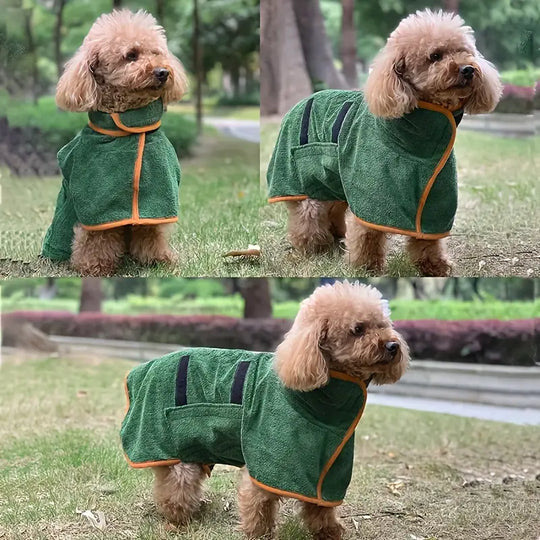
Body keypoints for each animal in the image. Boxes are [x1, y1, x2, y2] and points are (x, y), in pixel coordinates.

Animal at [41, 10, 188, 276]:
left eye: (156, 52)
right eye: (131, 55)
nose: (163, 72)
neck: (128, 131)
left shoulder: (158, 197)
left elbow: (150, 230)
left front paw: (158, 260)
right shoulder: (96, 201)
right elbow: (97, 236)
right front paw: (95, 267)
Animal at [121, 280, 410, 536]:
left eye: (383, 325)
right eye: (358, 329)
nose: (393, 345)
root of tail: (141, 370)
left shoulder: (327, 463)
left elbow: (320, 506)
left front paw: (328, 531)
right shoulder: (272, 457)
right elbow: (259, 500)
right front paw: (258, 532)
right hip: (170, 443)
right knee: (175, 486)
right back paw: (178, 519)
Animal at [266, 10, 502, 276]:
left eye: (465, 51)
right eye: (435, 56)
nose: (468, 69)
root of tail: (298, 103)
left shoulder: (435, 192)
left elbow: (427, 237)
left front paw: (434, 266)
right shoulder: (371, 190)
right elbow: (367, 232)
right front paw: (366, 267)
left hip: (333, 177)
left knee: (332, 208)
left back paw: (334, 239)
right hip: (300, 176)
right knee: (307, 212)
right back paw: (313, 247)